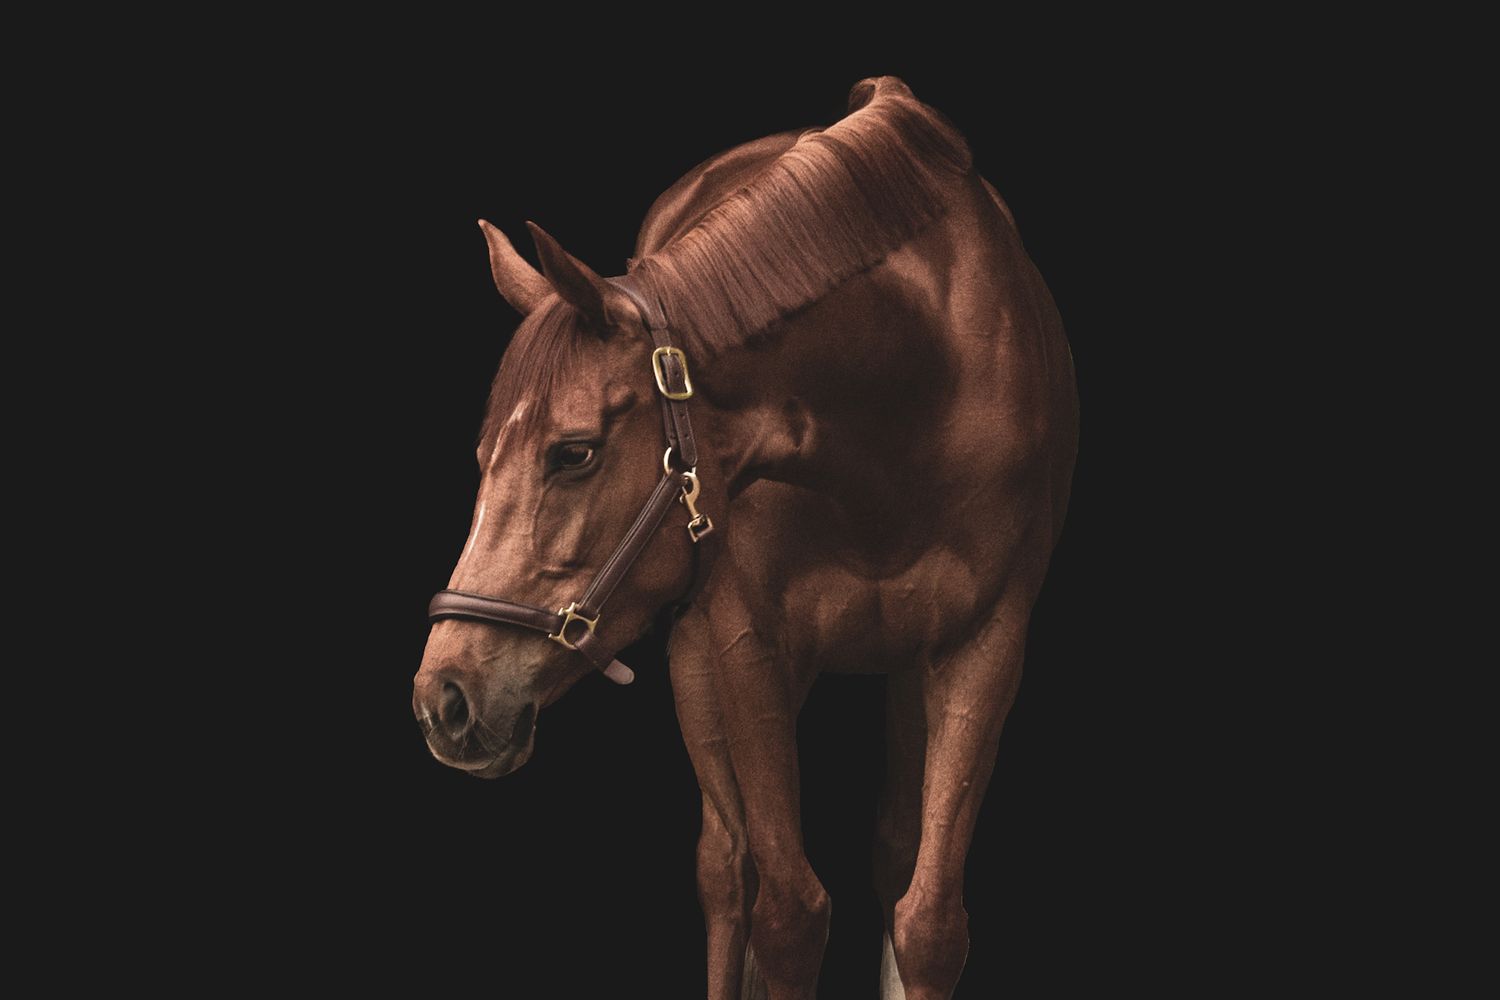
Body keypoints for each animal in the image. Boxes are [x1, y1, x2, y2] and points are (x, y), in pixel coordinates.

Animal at [412, 76, 1078, 1000]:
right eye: (481, 459)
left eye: (573, 453)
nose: (444, 696)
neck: (901, 395)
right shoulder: (746, 642)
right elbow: (787, 914)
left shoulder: (985, 647)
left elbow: (930, 922)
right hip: (696, 660)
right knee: (728, 872)